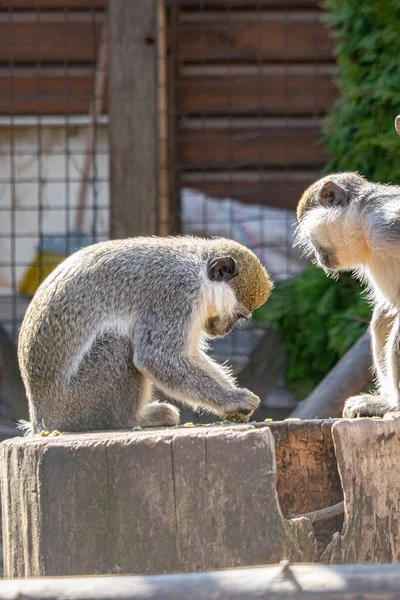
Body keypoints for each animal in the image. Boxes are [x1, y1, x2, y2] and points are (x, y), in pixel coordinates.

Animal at [18, 233, 272, 432]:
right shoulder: (175, 294)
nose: (225, 330)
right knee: (117, 343)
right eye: (238, 315)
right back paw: (134, 419)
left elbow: (189, 355)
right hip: (78, 402)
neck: (198, 271)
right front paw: (234, 401)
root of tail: (40, 417)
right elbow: (157, 358)